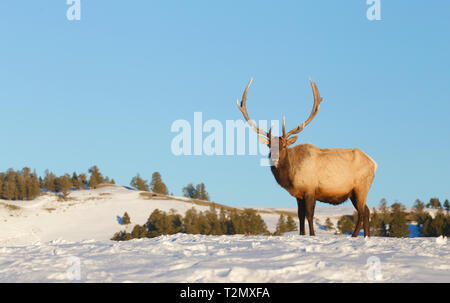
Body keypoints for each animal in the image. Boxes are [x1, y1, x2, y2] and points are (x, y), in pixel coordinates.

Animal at [237, 78, 378, 238]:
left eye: (283, 146)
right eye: (269, 146)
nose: (274, 160)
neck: (291, 176)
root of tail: (375, 164)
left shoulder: (310, 190)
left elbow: (309, 215)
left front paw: (312, 235)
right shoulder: (299, 195)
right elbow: (300, 215)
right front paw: (302, 234)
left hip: (361, 187)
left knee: (362, 212)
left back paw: (354, 235)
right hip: (355, 192)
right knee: (367, 211)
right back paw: (365, 236)